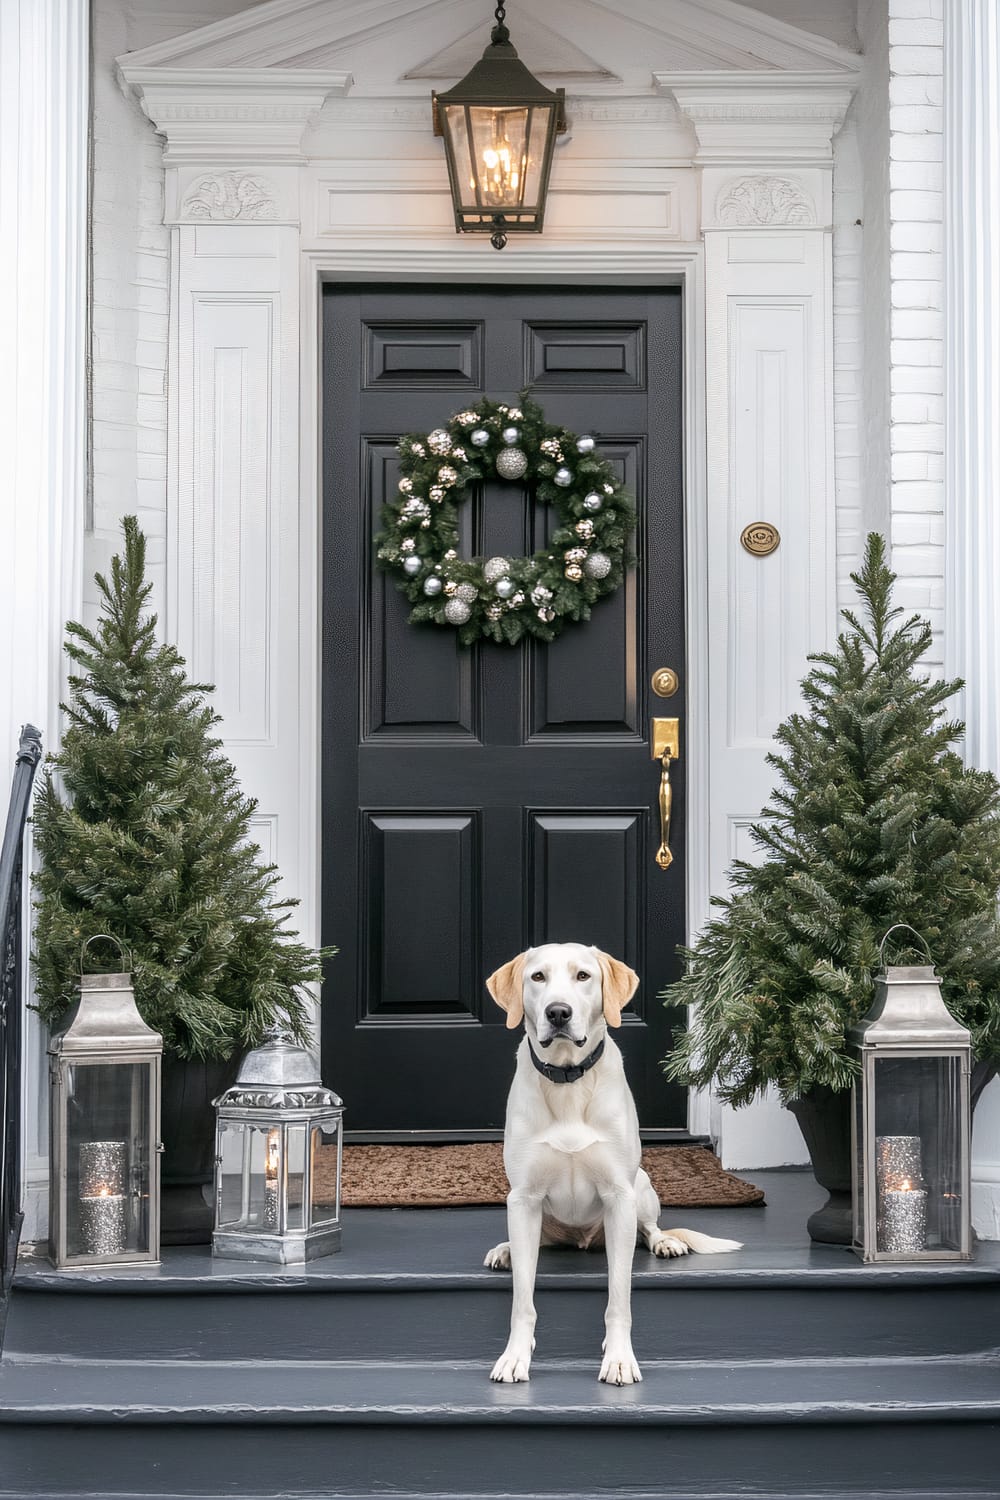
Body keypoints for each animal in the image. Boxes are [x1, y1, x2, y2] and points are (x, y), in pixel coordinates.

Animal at [485, 942, 743, 1386]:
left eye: (583, 976)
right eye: (537, 977)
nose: (558, 1012)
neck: (567, 1079)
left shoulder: (619, 1198)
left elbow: (619, 1298)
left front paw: (619, 1359)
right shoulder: (524, 1198)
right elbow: (523, 1300)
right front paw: (515, 1355)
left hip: (642, 1186)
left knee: (649, 1229)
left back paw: (665, 1242)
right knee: (531, 1244)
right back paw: (505, 1250)